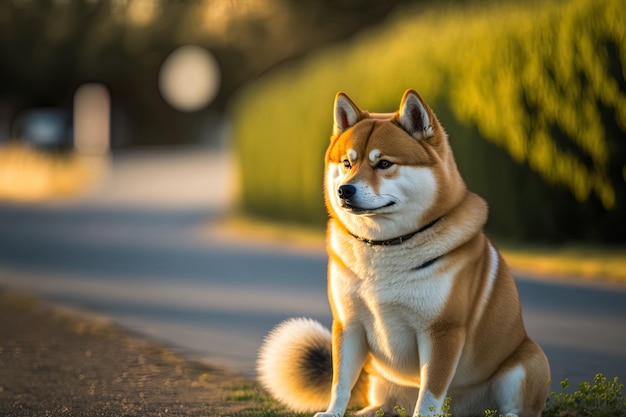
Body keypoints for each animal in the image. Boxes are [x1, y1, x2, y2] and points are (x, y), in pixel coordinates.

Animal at [256, 89, 548, 414]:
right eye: (347, 163)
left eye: (384, 163)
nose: (344, 190)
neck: (383, 248)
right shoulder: (348, 324)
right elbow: (340, 383)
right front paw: (332, 413)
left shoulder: (442, 331)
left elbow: (430, 396)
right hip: (383, 382)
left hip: (526, 364)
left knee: (514, 407)